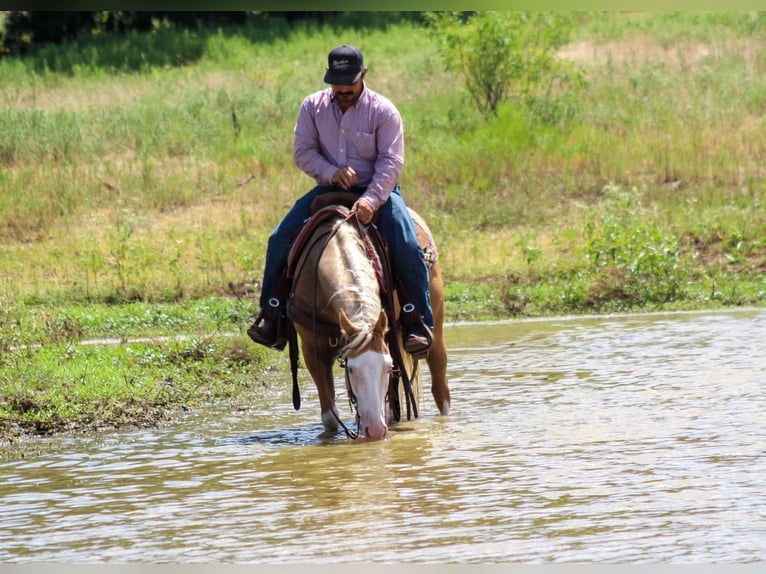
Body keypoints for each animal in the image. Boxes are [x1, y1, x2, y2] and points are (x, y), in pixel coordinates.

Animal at [285, 202, 450, 441]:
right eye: (351, 369)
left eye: (388, 367)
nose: (375, 430)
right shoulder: (312, 349)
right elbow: (329, 417)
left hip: (434, 331)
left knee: (440, 390)